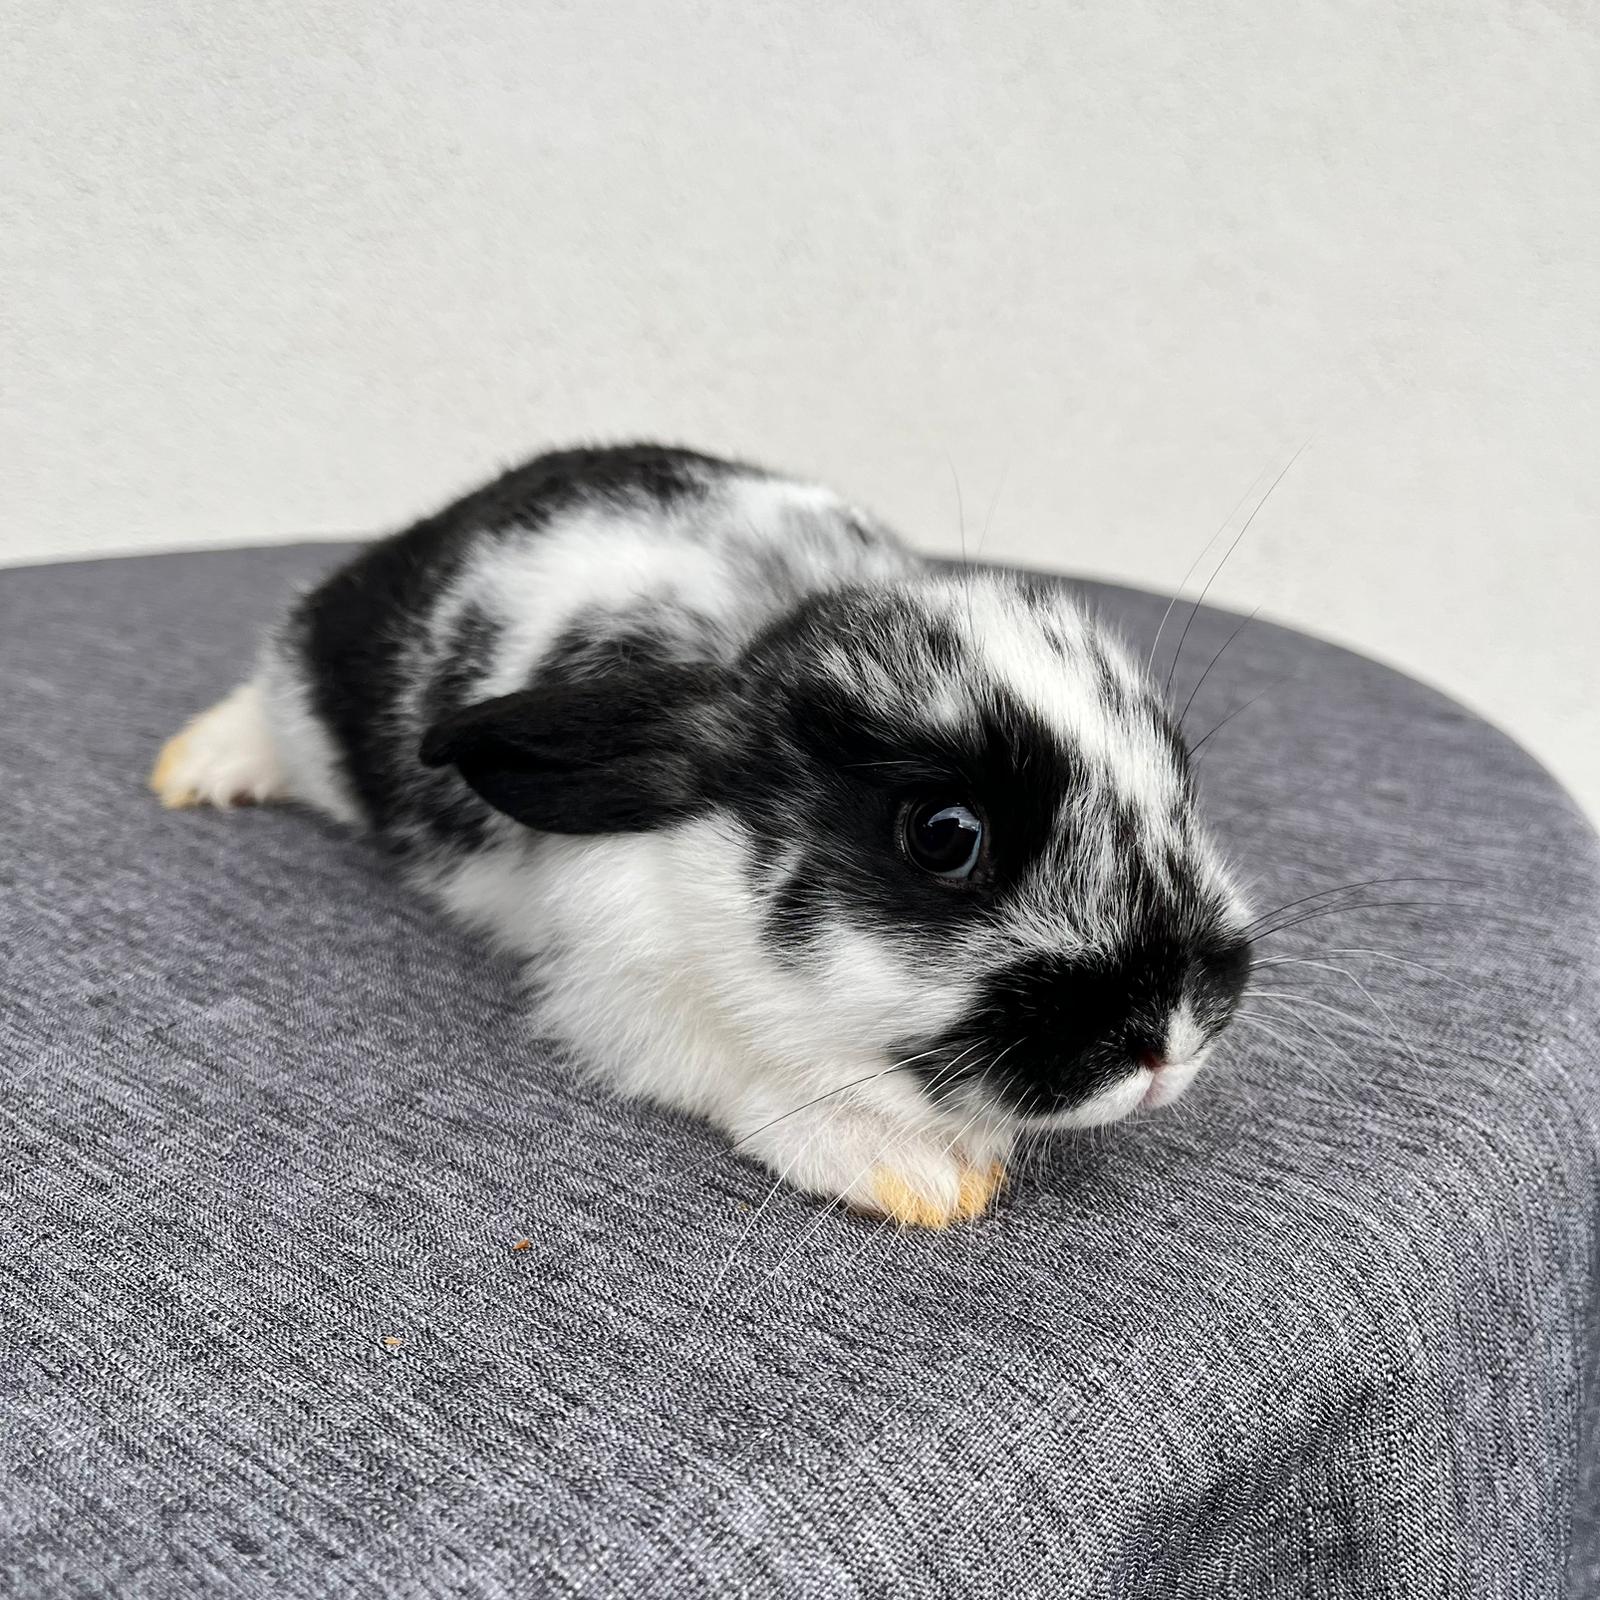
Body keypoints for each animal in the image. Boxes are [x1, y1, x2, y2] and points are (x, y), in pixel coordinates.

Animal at [150, 443, 1253, 1226]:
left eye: (1179, 778)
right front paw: (913, 1171)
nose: (1170, 1036)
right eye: (945, 835)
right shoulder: (615, 989)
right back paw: (198, 768)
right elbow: (742, 1066)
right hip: (315, 685)